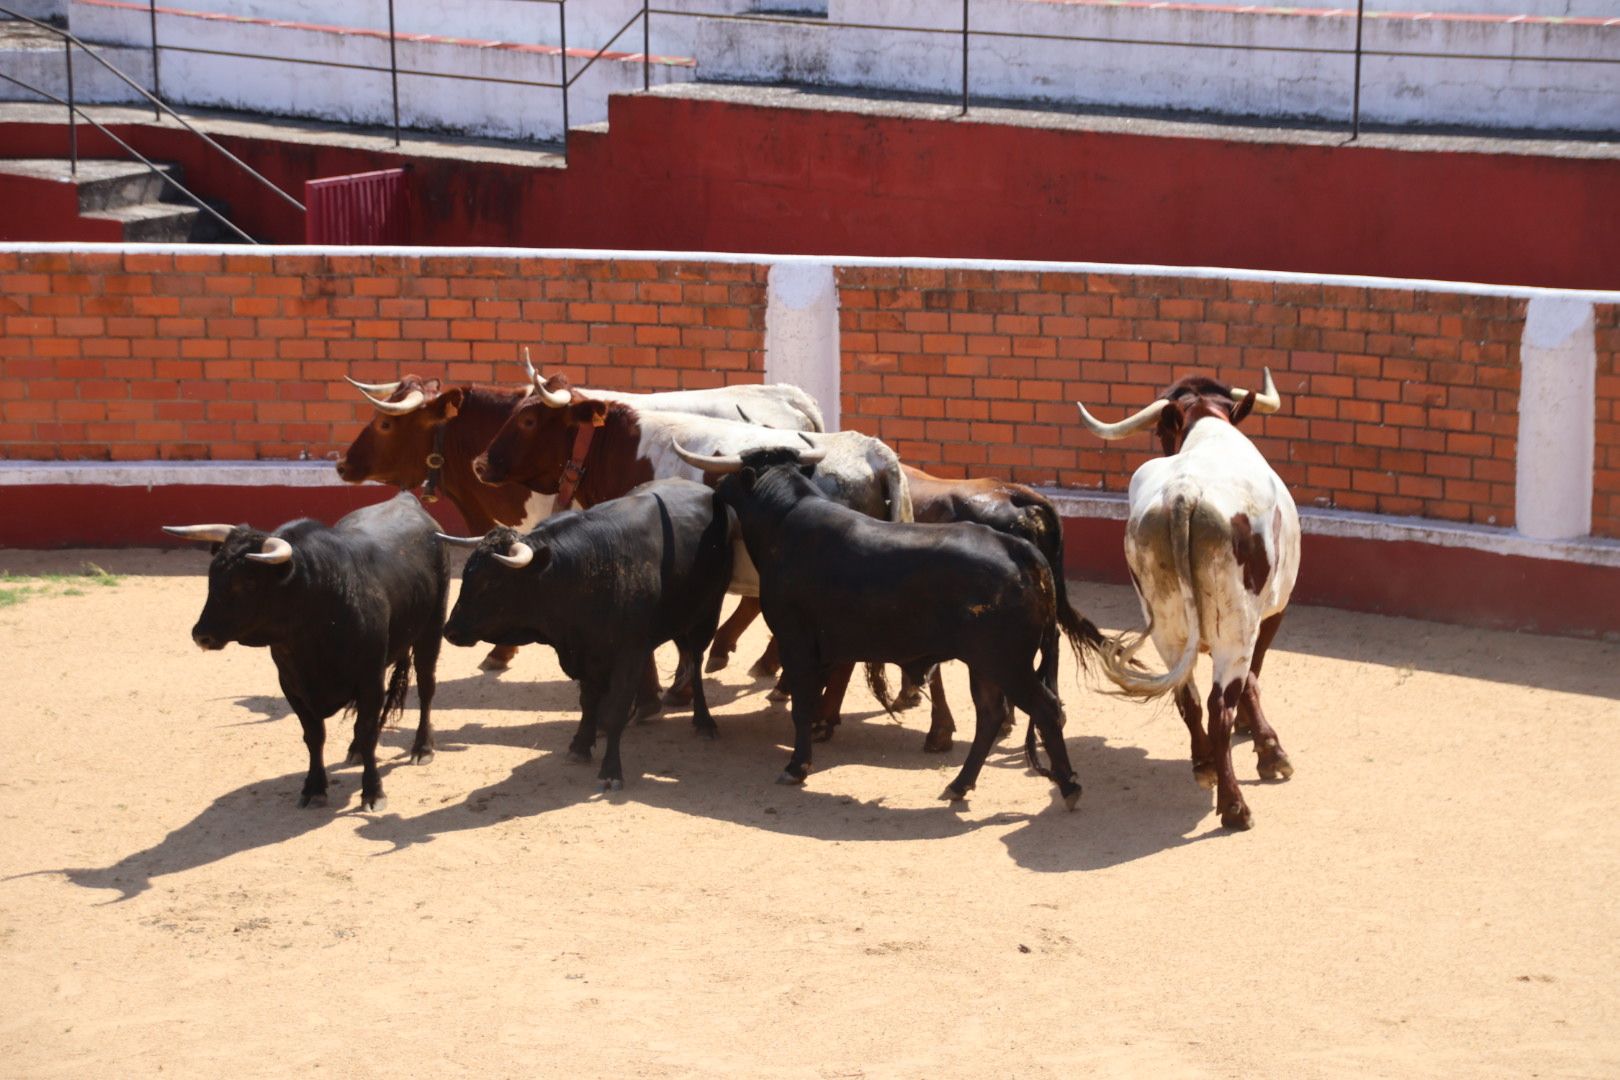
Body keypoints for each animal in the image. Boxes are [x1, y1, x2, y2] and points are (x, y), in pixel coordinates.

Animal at [450, 476, 741, 790]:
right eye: (465, 574)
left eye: (491, 582)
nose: (449, 630)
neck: (588, 567)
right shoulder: (585, 654)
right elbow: (588, 701)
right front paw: (581, 745)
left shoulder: (629, 654)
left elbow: (616, 708)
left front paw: (611, 770)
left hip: (707, 614)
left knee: (696, 663)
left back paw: (704, 720)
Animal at [1075, 367, 1302, 835]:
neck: (1207, 426)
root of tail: (1184, 494)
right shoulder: (1274, 611)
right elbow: (1253, 679)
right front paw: (1270, 750)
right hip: (1235, 628)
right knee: (1219, 705)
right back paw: (1234, 805)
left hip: (1167, 628)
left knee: (1188, 696)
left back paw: (1204, 765)